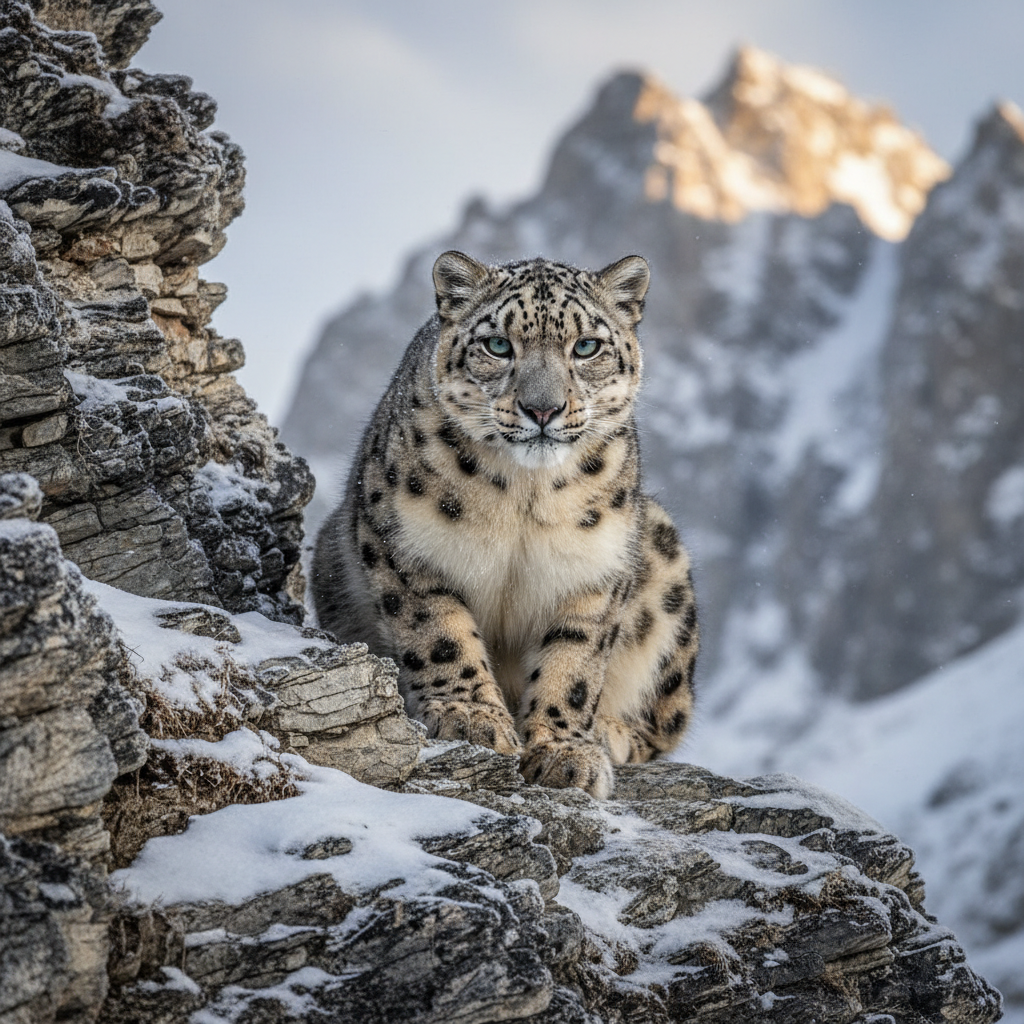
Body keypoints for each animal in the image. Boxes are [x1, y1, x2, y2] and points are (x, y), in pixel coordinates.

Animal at [311, 250, 699, 798]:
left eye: (586, 346)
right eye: (498, 344)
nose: (543, 408)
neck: (523, 497)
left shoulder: (592, 572)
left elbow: (573, 665)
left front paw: (564, 750)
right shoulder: (407, 546)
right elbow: (439, 634)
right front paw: (470, 715)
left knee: (665, 723)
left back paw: (609, 731)